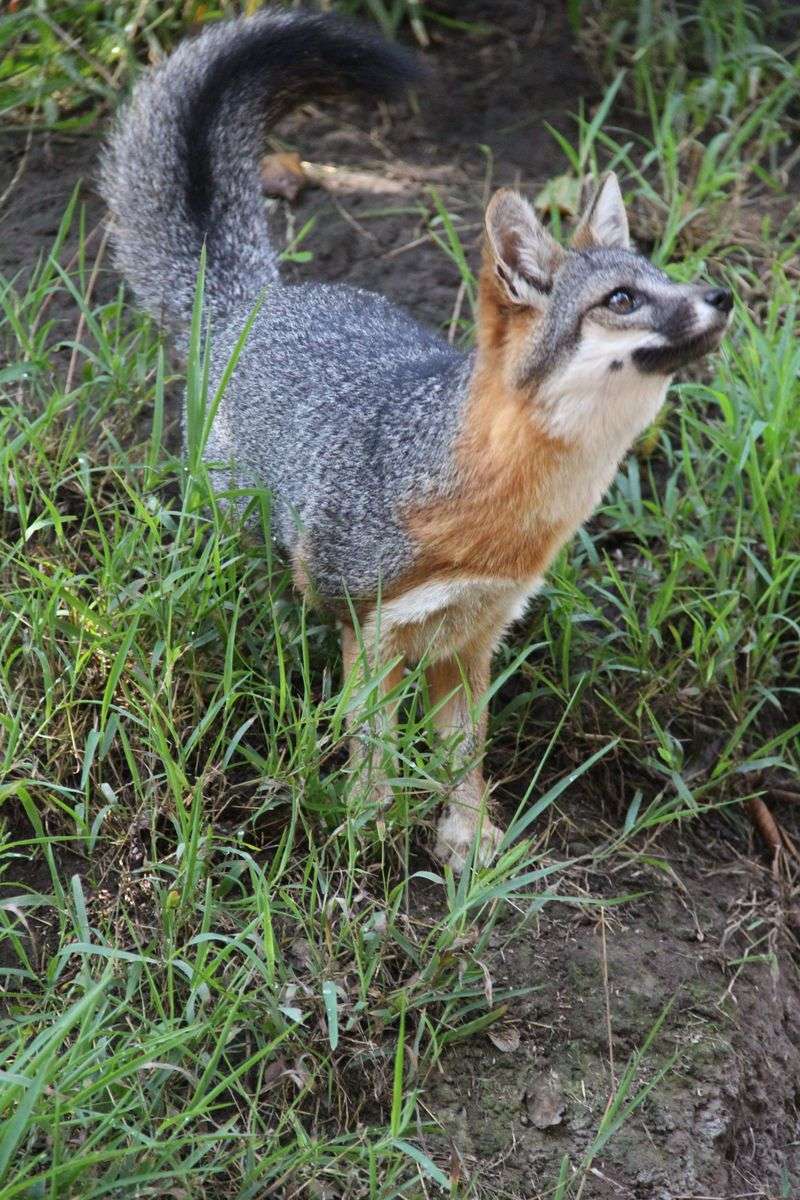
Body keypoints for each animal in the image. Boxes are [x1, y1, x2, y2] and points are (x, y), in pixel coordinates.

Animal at [100, 8, 733, 872]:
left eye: (667, 275)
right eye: (622, 299)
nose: (722, 295)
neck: (495, 506)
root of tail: (260, 300)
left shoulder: (474, 637)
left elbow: (465, 752)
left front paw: (466, 838)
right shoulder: (368, 626)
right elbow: (371, 738)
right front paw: (366, 826)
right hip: (239, 540)